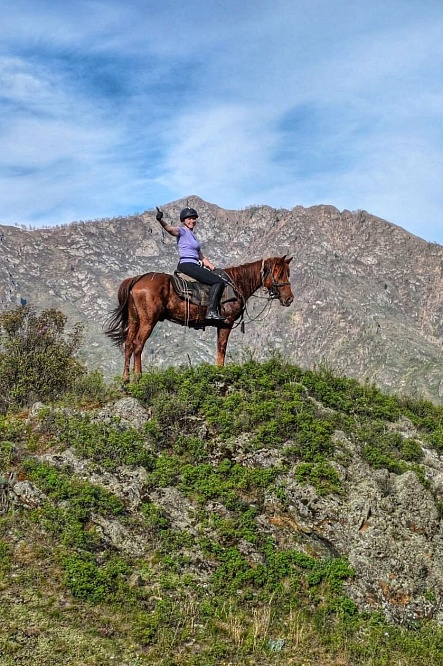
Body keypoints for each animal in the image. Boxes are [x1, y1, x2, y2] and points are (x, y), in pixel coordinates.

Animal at [104, 253, 294, 382]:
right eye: (279, 273)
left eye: (288, 273)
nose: (289, 299)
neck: (236, 283)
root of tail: (137, 279)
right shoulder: (225, 324)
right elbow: (222, 349)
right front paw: (220, 372)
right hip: (148, 321)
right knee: (138, 345)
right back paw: (138, 377)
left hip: (134, 320)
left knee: (128, 344)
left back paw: (125, 380)